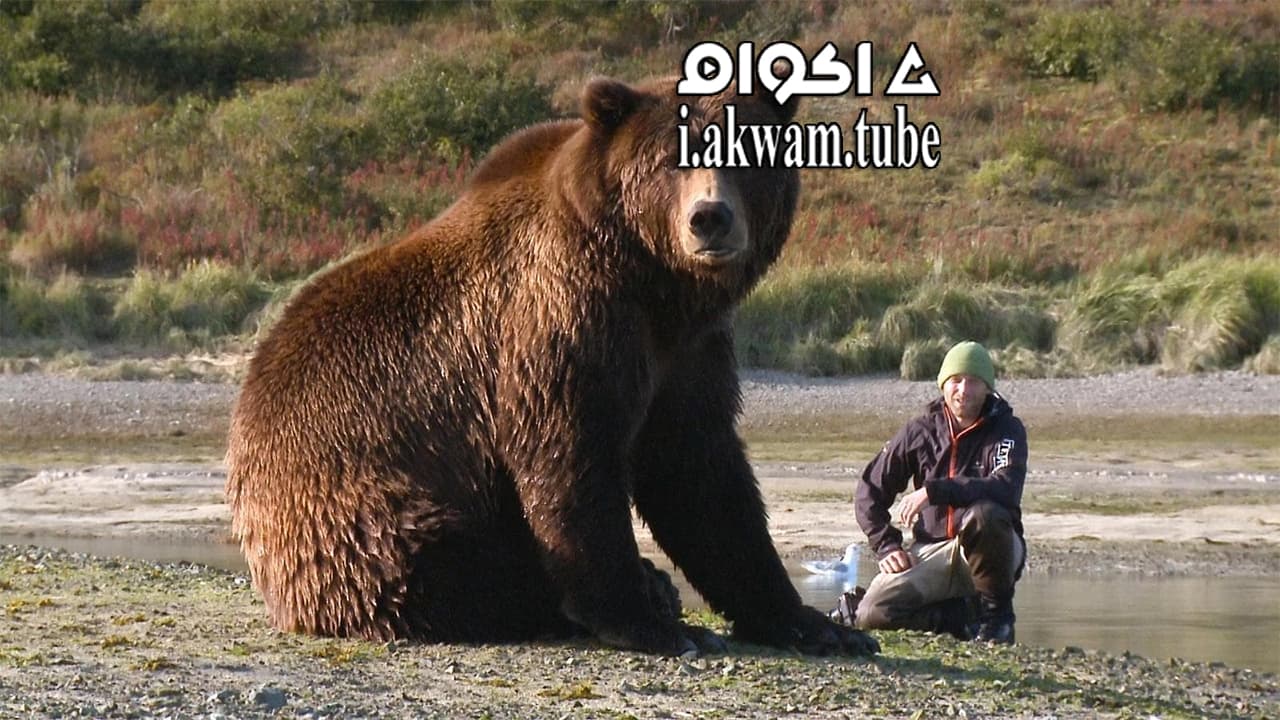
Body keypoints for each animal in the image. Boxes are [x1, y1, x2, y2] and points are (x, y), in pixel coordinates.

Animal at [225, 75, 878, 658]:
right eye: (669, 160)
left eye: (743, 152)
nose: (709, 218)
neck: (655, 282)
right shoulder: (561, 320)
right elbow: (572, 458)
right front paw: (652, 624)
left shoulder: (688, 352)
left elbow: (702, 475)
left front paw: (815, 626)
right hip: (353, 507)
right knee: (441, 563)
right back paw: (629, 593)